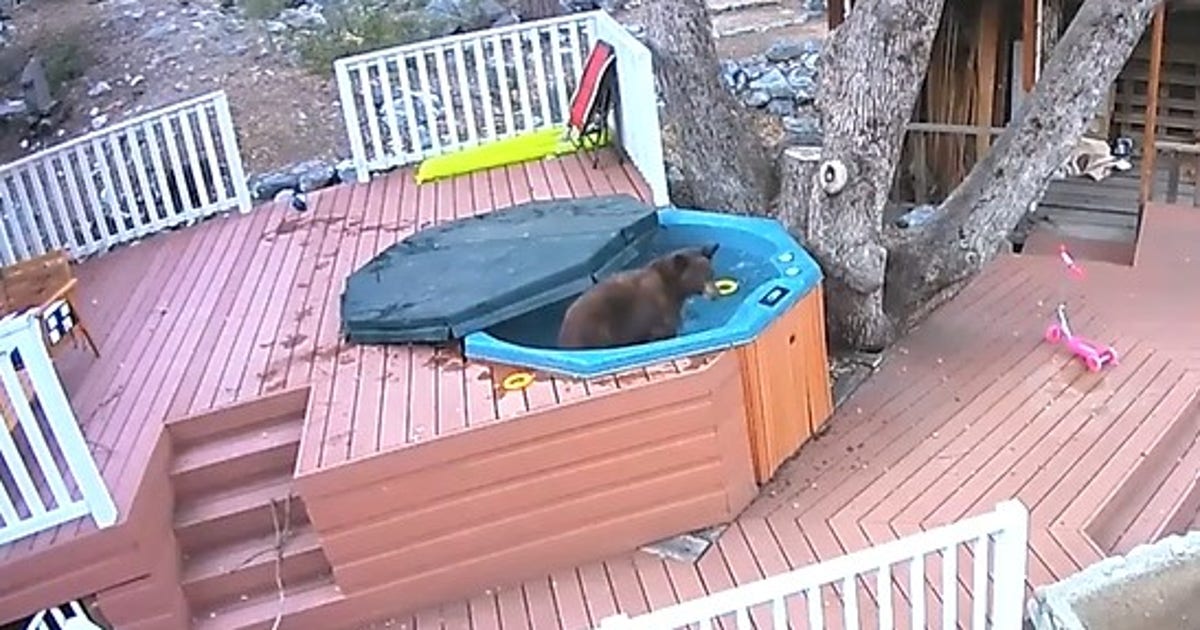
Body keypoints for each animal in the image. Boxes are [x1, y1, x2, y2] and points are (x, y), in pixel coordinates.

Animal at [557, 243, 721, 349]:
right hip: (597, 331)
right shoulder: (658, 313)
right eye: (699, 277)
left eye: (712, 273)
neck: (672, 286)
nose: (715, 295)